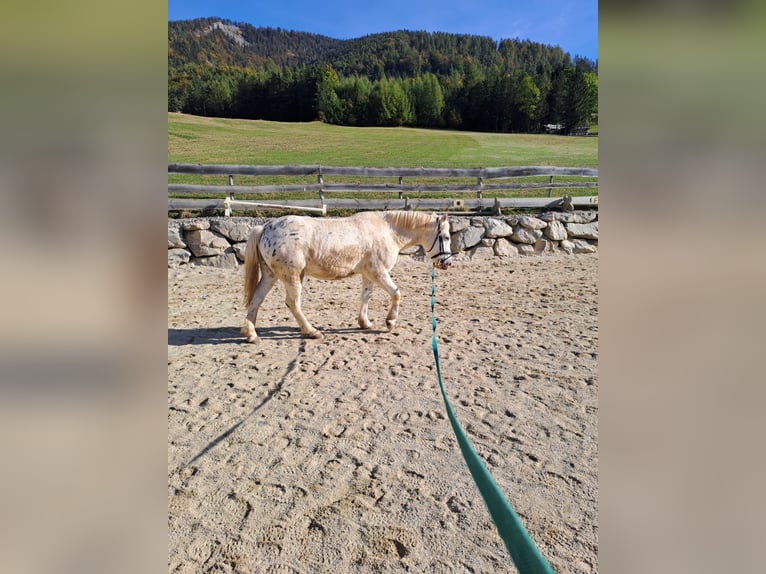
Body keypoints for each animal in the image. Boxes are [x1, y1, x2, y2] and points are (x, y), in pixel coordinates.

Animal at [243, 213, 452, 344]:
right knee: (293, 303)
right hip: (292, 276)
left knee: (257, 299)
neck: (387, 231)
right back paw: (312, 332)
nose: (447, 263)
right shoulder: (379, 272)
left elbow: (365, 297)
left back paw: (251, 334)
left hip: (270, 275)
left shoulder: (369, 274)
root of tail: (265, 228)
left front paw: (365, 323)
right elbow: (396, 293)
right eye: (446, 237)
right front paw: (390, 322)